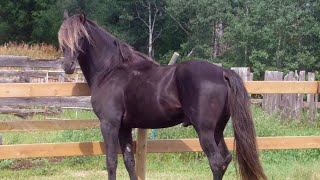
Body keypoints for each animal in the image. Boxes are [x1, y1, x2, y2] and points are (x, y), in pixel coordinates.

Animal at [58, 11, 266, 180]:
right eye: (61, 37)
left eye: (80, 36)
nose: (67, 65)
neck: (111, 70)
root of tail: (222, 72)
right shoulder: (124, 127)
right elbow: (129, 161)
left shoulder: (109, 124)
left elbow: (111, 162)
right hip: (217, 130)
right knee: (225, 158)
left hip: (205, 130)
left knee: (216, 162)